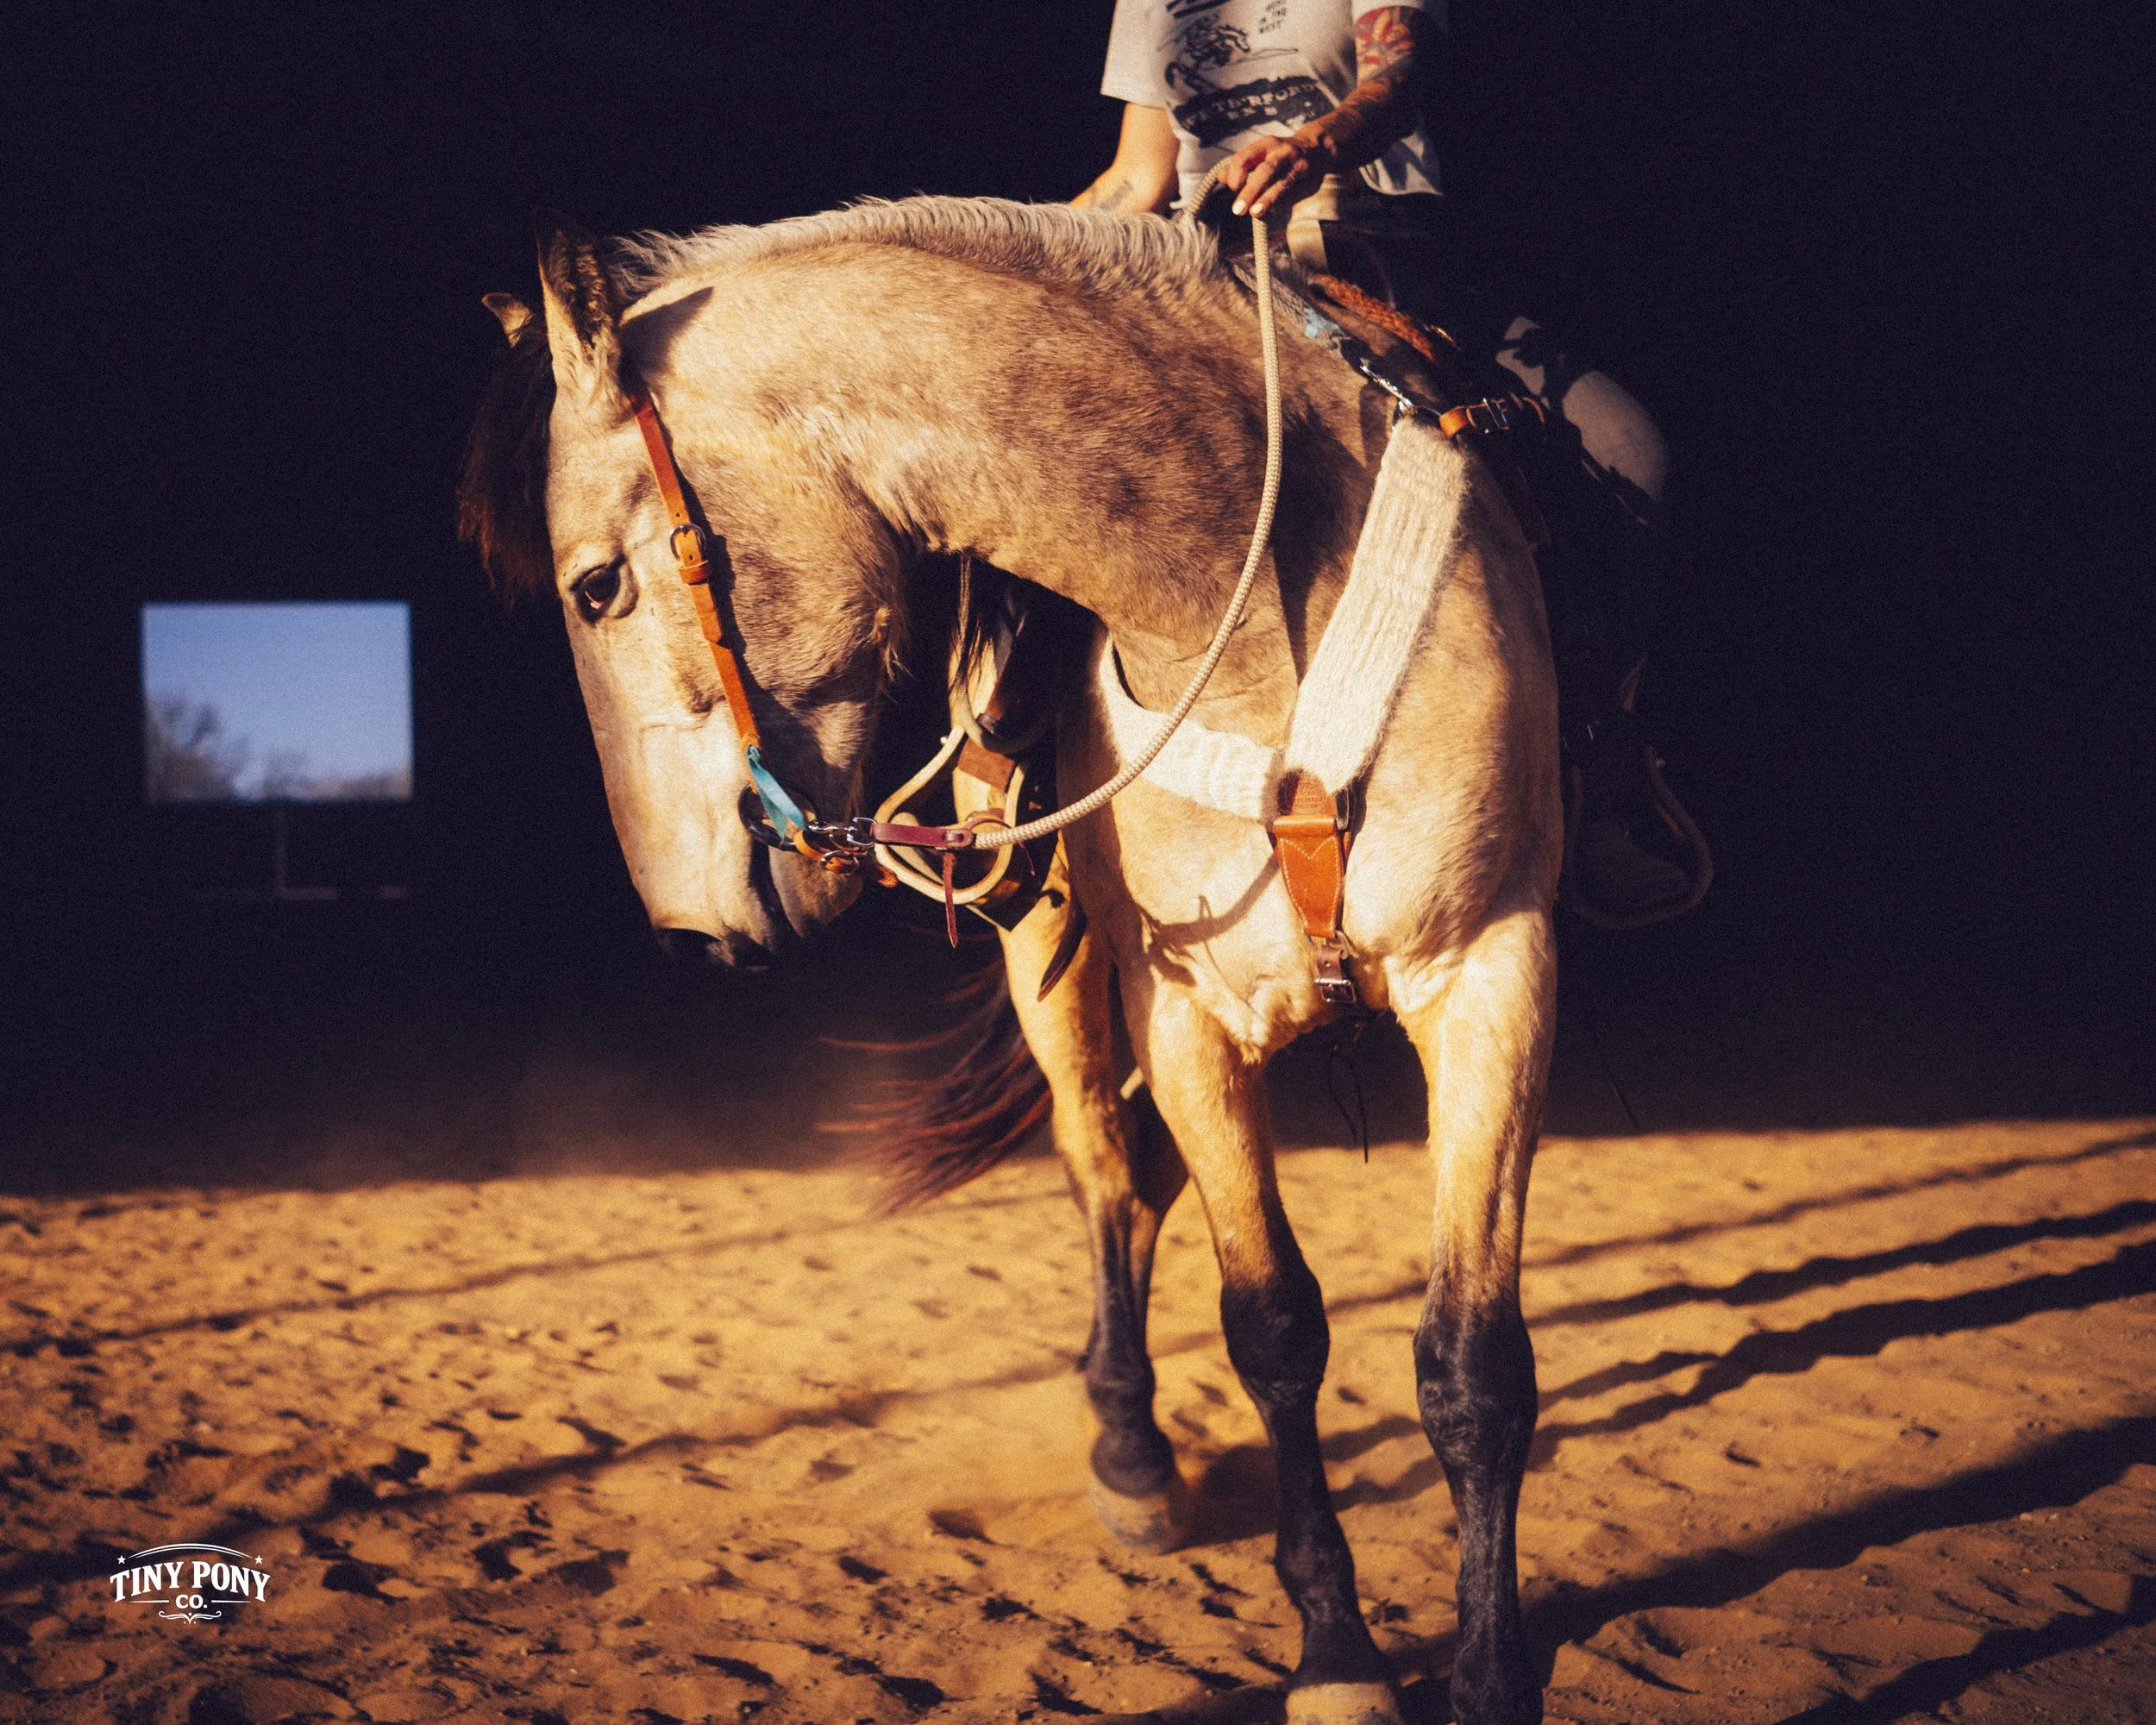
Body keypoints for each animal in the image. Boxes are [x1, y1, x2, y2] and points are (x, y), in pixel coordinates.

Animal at [460, 197, 1560, 1725]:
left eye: (599, 584)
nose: (690, 930)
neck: (1249, 599)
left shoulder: (1493, 974)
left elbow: (1474, 1367)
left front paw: (1489, 1667)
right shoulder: (1189, 1013)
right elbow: (1275, 1330)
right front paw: (1337, 1655)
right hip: (1064, 964)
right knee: (1108, 1171)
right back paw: (1132, 1456)